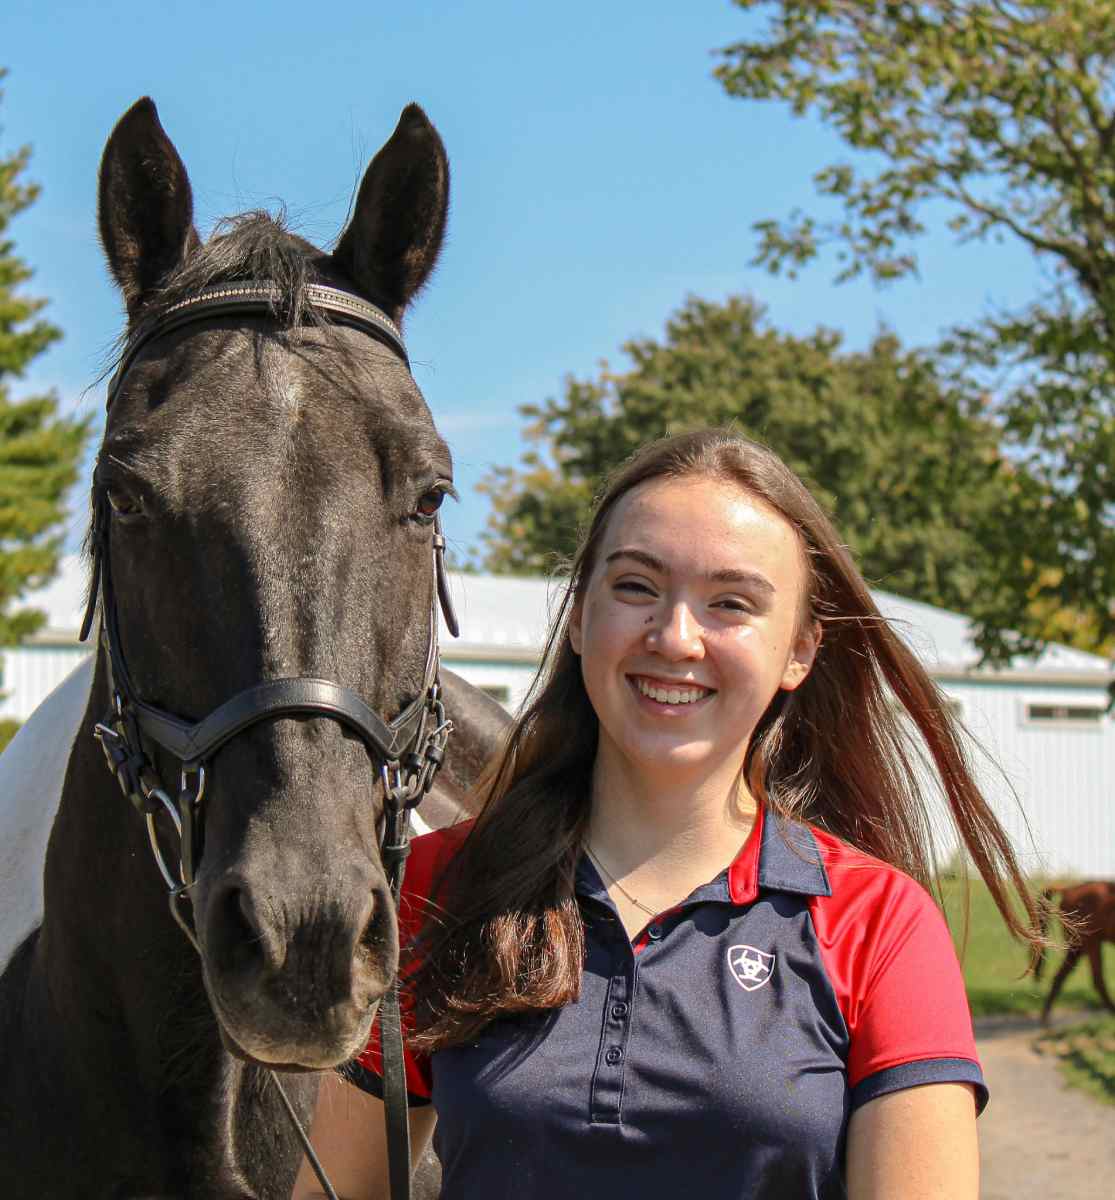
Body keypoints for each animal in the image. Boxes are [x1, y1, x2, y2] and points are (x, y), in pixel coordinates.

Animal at [1035, 880, 1115, 1023]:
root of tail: (1070, 889)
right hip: (1091, 942)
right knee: (1098, 979)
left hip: (1078, 948)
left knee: (1059, 976)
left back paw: (1045, 1018)